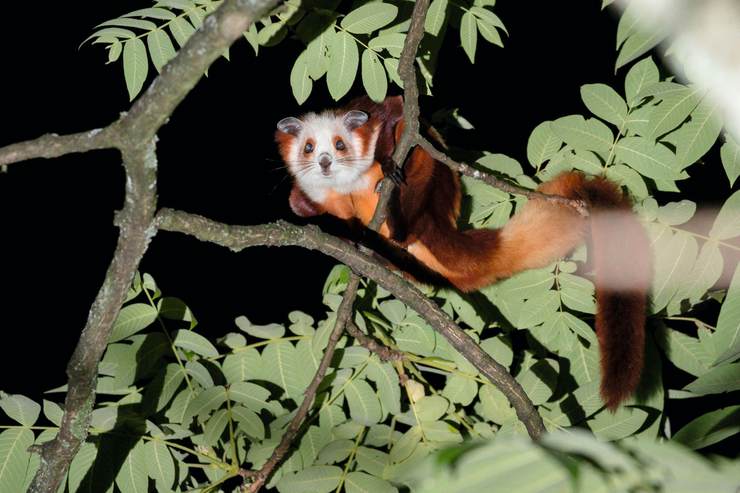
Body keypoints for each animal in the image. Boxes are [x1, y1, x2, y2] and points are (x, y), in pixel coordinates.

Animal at [274, 94, 652, 410]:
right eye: (308, 148)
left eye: (339, 144)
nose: (324, 162)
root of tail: (437, 224)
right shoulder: (316, 192)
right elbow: (297, 203)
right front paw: (322, 215)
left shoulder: (375, 116)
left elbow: (400, 111)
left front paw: (385, 159)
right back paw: (366, 242)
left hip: (430, 194)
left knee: (421, 153)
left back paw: (395, 213)